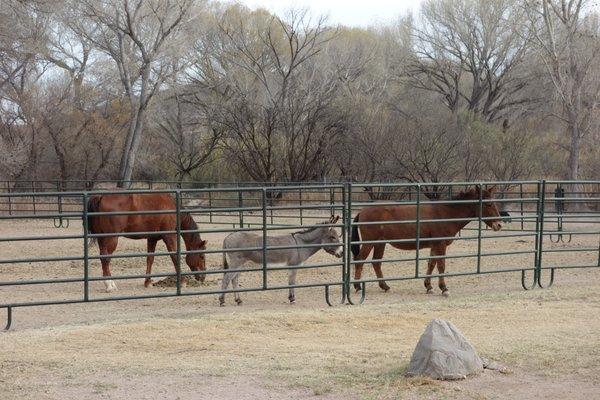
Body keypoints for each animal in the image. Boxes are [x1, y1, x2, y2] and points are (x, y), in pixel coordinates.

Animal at [350, 186, 504, 296]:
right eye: (488, 204)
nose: (499, 225)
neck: (445, 213)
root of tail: (363, 211)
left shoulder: (434, 245)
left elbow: (431, 264)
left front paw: (429, 286)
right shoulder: (440, 245)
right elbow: (441, 266)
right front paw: (444, 288)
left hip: (380, 243)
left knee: (376, 263)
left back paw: (385, 286)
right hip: (370, 243)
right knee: (360, 260)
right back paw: (358, 287)